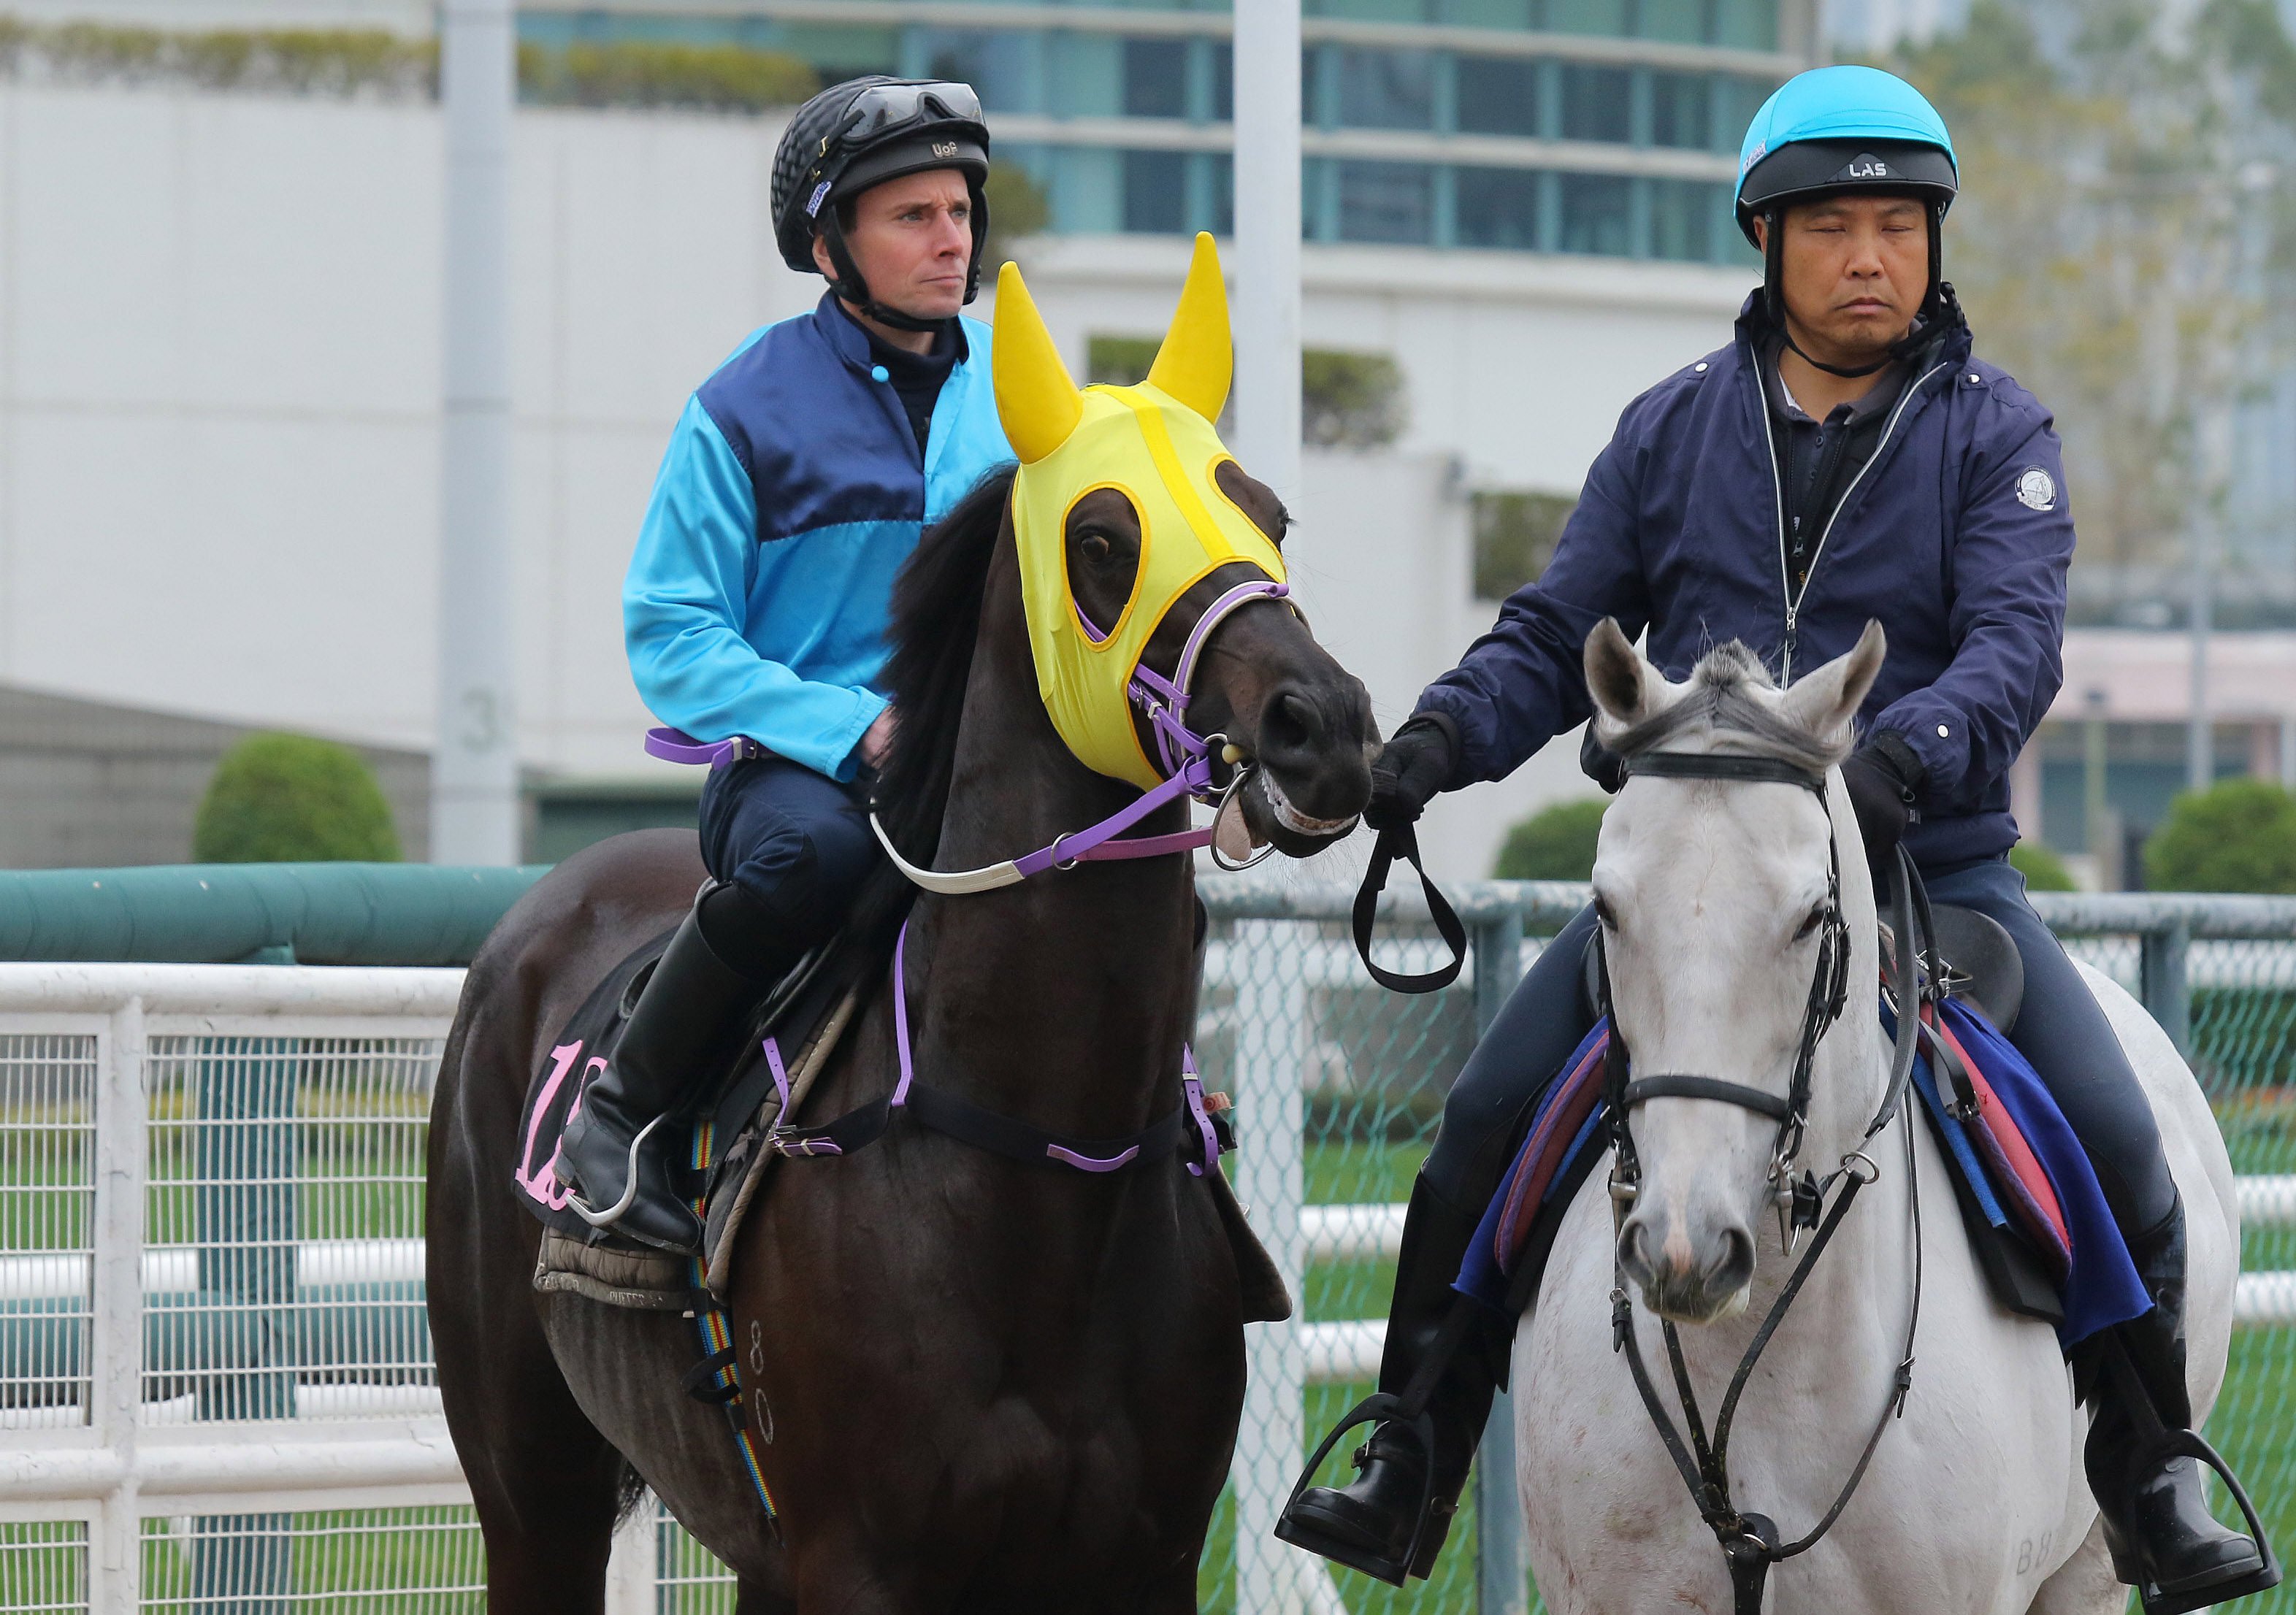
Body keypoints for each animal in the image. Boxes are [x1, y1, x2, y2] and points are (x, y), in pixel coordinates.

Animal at [424, 346, 1368, 1606]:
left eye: (1270, 515)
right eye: (1101, 539)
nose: (1327, 725)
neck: (1040, 1167)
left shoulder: (1150, 1557)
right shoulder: (860, 1560)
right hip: (532, 1489)